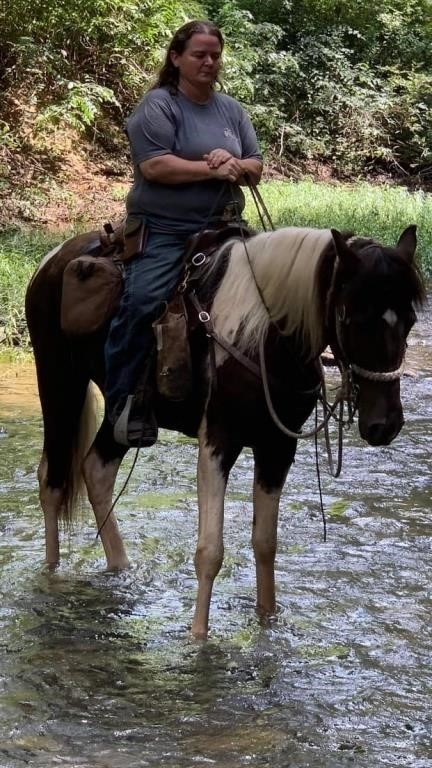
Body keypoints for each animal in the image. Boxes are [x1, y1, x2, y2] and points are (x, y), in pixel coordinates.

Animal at [25, 222, 424, 636]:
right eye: (354, 318)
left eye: (410, 321)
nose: (385, 425)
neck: (265, 335)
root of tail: (53, 258)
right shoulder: (218, 440)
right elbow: (210, 551)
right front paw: (198, 638)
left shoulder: (277, 446)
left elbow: (265, 543)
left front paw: (267, 619)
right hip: (59, 381)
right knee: (52, 480)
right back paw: (51, 574)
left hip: (122, 413)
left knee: (96, 469)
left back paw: (121, 569)